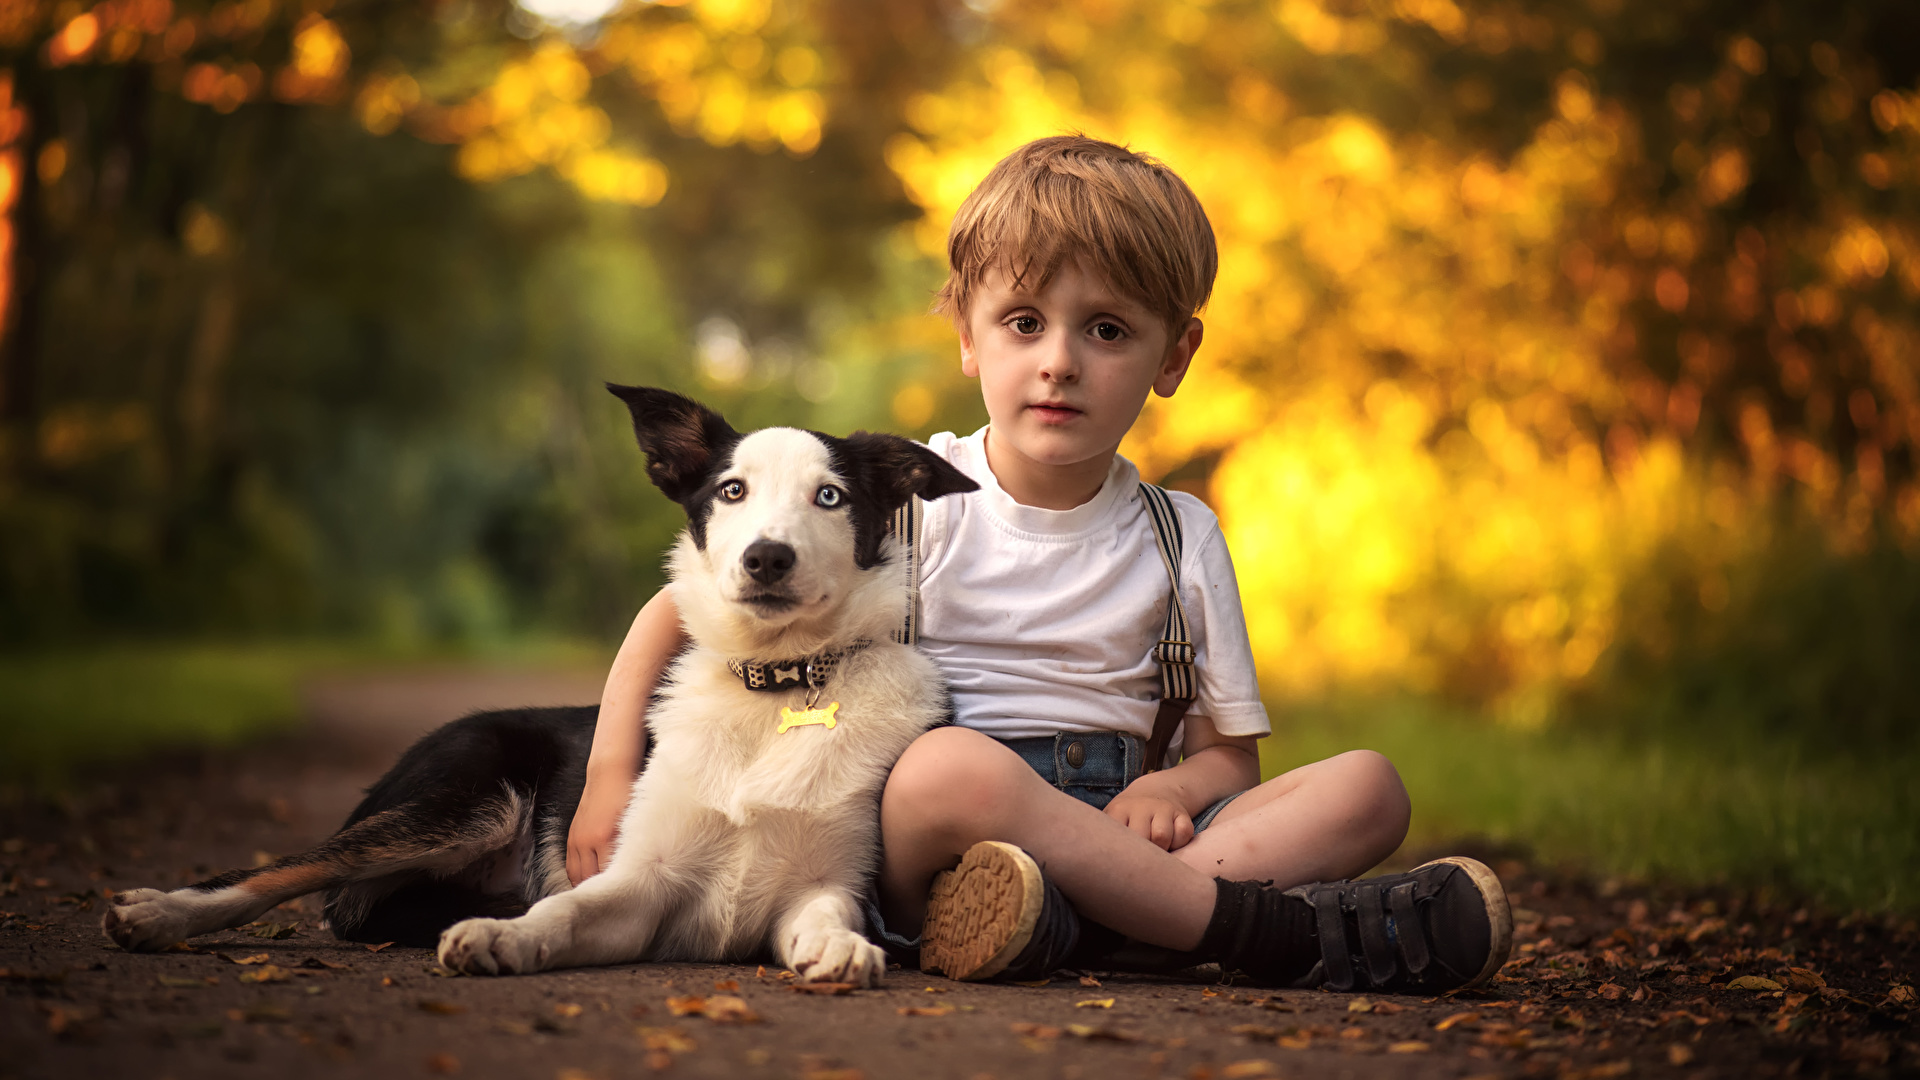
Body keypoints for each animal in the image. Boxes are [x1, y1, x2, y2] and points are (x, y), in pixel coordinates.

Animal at [105, 386, 975, 983]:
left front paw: (844, 949)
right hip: (469, 800)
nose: (766, 558)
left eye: (831, 496)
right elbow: (563, 911)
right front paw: (503, 938)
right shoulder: (637, 884)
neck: (775, 688)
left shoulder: (823, 884)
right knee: (282, 868)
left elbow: (825, 917)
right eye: (731, 490)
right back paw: (158, 912)